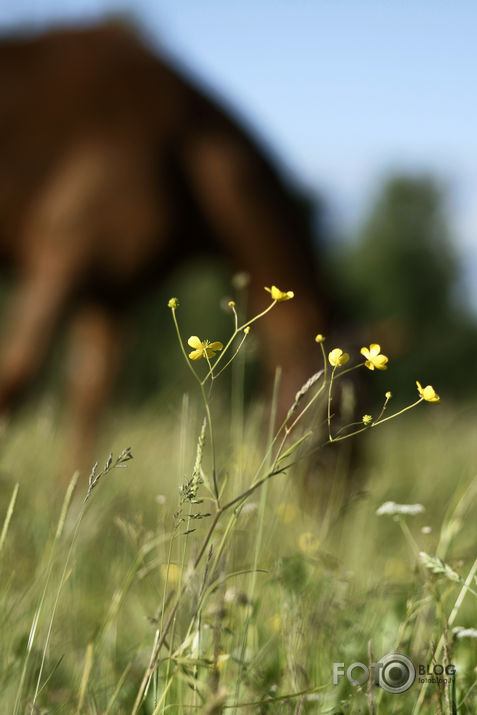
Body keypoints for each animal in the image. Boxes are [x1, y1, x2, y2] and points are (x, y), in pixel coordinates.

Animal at [0, 21, 332, 470]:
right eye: (336, 405)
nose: (345, 487)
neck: (184, 154)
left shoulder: (114, 293)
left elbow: (89, 398)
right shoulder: (61, 258)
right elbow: (17, 374)